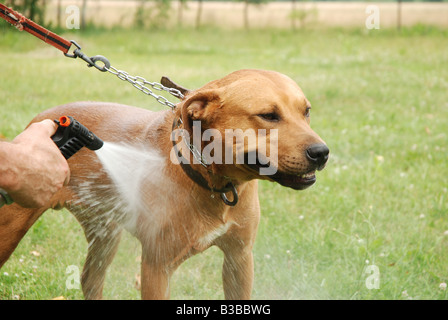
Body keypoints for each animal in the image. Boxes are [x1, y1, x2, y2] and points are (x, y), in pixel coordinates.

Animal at [0, 69, 328, 298]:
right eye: (268, 116)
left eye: (307, 111)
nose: (322, 153)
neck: (210, 181)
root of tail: (41, 120)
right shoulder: (157, 267)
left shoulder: (239, 258)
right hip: (11, 227)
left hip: (105, 233)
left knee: (89, 279)